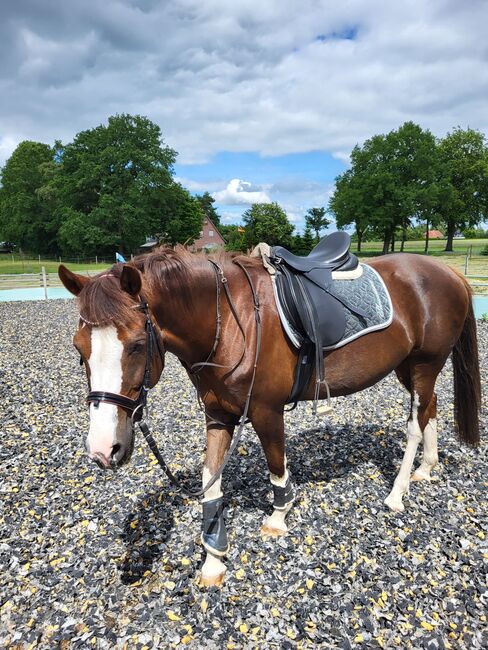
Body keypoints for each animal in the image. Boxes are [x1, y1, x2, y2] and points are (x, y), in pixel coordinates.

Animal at [58, 246, 480, 584]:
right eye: (78, 349)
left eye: (136, 344)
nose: (103, 448)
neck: (230, 321)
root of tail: (451, 273)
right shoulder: (218, 416)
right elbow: (211, 482)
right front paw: (214, 560)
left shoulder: (266, 411)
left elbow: (277, 466)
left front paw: (278, 518)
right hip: (409, 367)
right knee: (431, 408)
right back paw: (426, 468)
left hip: (425, 364)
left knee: (414, 424)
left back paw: (397, 492)